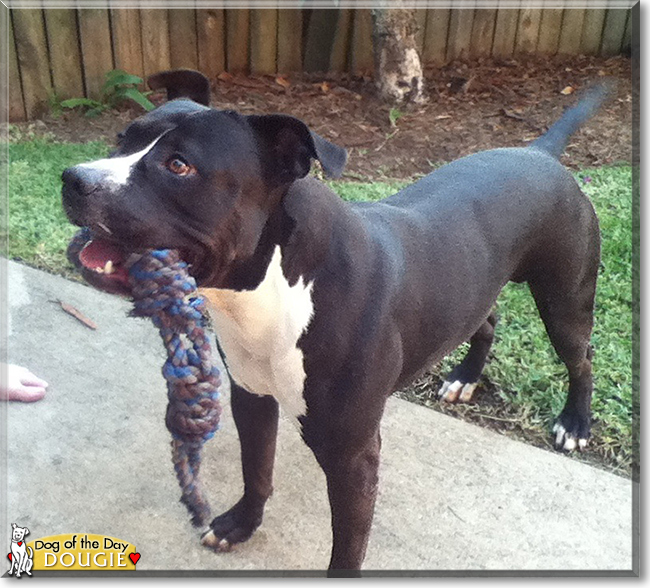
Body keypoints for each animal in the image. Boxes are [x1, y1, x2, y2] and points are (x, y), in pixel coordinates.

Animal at [62, 70, 608, 576]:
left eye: (179, 165)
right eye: (121, 139)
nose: (74, 178)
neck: (271, 292)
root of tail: (538, 153)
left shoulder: (352, 457)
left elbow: (347, 545)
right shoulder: (251, 398)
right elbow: (256, 469)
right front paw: (242, 524)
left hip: (564, 299)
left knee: (581, 358)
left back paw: (574, 422)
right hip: (476, 282)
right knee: (487, 320)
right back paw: (465, 377)